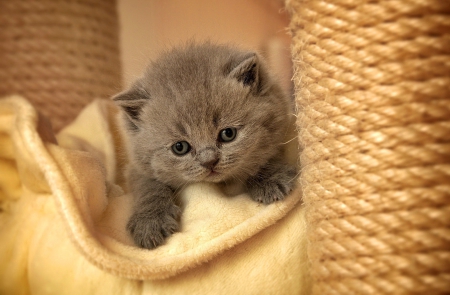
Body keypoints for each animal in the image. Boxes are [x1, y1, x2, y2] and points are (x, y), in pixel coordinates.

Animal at [112, 42, 298, 250]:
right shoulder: (136, 166)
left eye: (228, 134)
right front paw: (150, 222)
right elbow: (148, 186)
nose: (209, 161)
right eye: (180, 147)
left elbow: (266, 155)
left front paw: (270, 179)